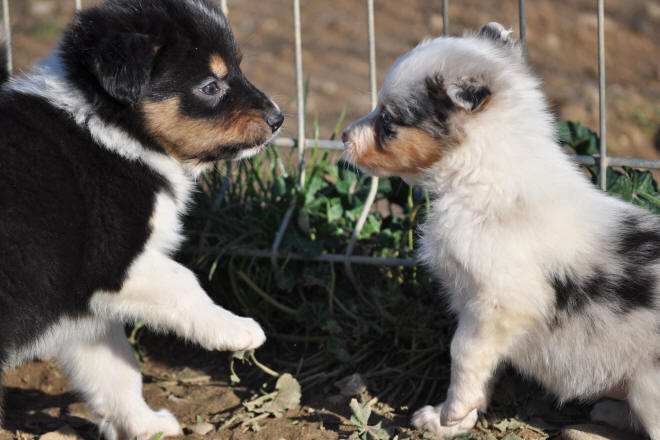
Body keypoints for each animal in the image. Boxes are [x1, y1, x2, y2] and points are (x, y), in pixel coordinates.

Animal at [0, 1, 282, 438]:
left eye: (238, 67)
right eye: (210, 86)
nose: (278, 119)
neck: (112, 130)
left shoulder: (85, 306)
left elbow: (116, 370)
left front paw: (145, 425)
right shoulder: (113, 261)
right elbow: (184, 281)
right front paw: (236, 329)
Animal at [342, 23, 656, 440]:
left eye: (388, 122)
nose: (343, 136)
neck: (481, 184)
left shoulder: (499, 302)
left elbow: (461, 353)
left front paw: (452, 414)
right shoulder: (475, 307)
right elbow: (480, 371)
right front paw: (449, 421)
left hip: (650, 386)